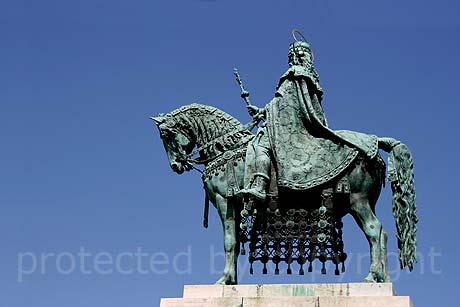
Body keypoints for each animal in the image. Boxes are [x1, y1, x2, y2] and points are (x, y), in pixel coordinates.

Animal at [153, 103, 418, 286]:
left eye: (166, 136)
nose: (176, 166)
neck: (227, 149)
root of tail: (376, 142)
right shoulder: (236, 206)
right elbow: (236, 243)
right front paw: (231, 281)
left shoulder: (224, 201)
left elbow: (229, 242)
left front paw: (223, 280)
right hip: (366, 202)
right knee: (383, 233)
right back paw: (383, 279)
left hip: (358, 201)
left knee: (374, 231)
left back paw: (372, 277)